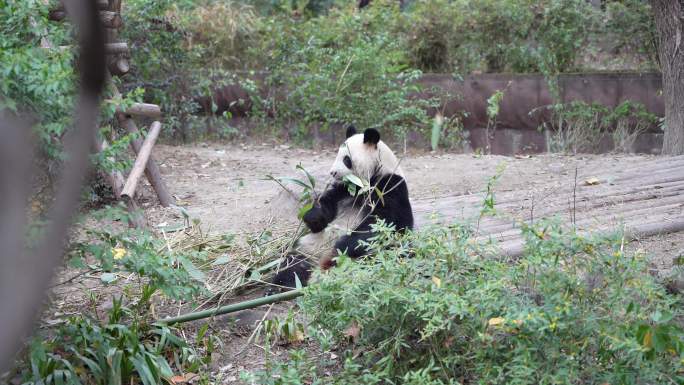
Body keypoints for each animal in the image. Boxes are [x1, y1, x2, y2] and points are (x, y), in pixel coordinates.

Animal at [270, 126, 414, 292]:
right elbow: (325, 210)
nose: (332, 172)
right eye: (336, 155)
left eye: (346, 159)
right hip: (307, 249)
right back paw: (278, 287)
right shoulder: (343, 189)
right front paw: (313, 216)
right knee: (293, 265)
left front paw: (342, 245)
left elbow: (385, 224)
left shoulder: (390, 187)